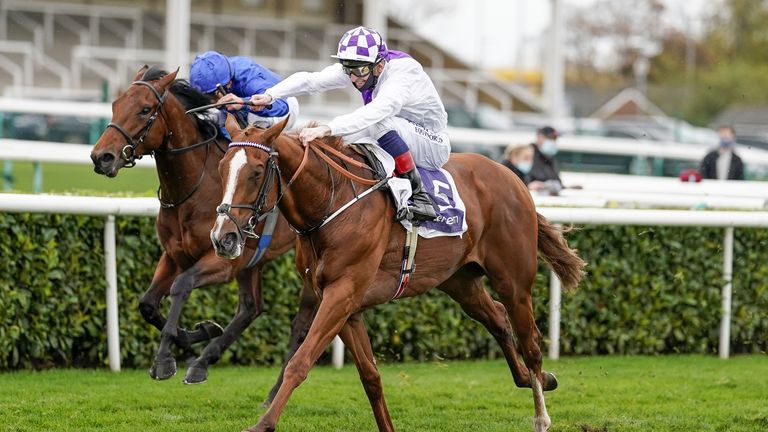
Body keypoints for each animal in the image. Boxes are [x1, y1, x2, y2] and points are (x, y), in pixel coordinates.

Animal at [91, 66, 318, 394]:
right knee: (251, 308)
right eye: (115, 104)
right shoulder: (174, 255)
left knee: (299, 318)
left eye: (145, 109)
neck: (193, 188)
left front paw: (164, 358)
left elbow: (182, 285)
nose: (101, 157)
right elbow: (148, 304)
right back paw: (203, 361)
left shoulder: (223, 260)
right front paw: (200, 333)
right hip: (252, 261)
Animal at [213, 115, 584, 432]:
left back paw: (541, 415)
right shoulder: (341, 303)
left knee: (531, 341)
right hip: (460, 281)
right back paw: (541, 378)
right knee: (498, 319)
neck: (332, 202)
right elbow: (370, 377)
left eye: (256, 172)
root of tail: (514, 179)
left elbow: (300, 362)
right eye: (220, 168)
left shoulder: (342, 293)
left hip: (514, 281)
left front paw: (262, 424)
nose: (222, 237)